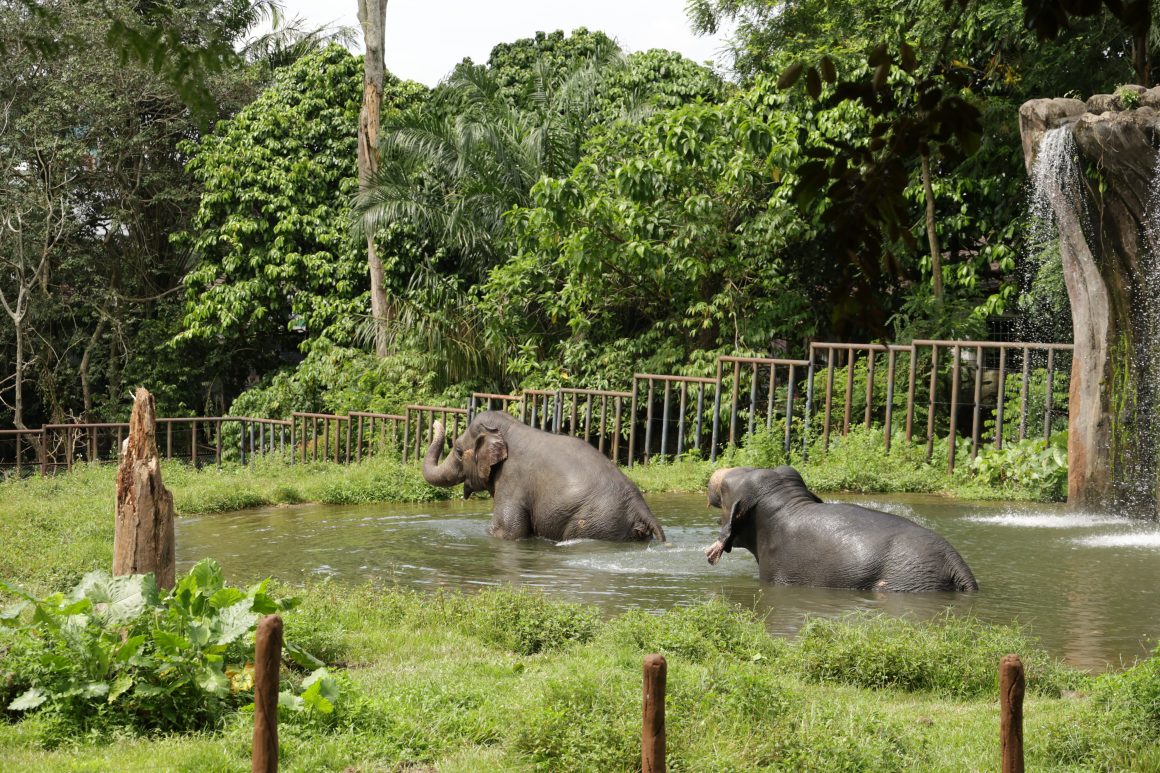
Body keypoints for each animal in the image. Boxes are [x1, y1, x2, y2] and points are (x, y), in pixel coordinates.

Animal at [422, 410, 666, 542]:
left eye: (458, 451)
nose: (434, 422)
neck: (510, 428)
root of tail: (641, 508)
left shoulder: (511, 480)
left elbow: (507, 531)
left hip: (598, 523)